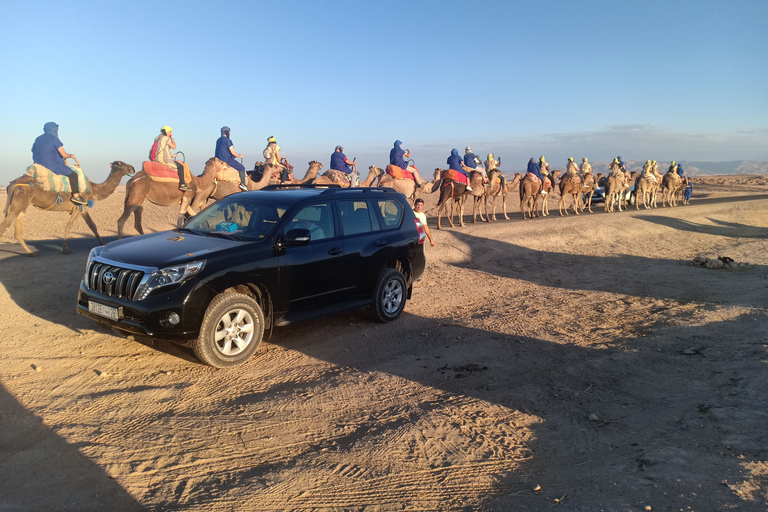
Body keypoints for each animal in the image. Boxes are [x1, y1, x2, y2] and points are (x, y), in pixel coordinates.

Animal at [0, 161, 136, 255]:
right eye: (122, 164)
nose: (133, 168)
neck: (93, 189)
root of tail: (12, 184)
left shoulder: (83, 207)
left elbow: (92, 225)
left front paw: (102, 243)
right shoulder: (77, 207)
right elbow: (69, 226)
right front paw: (65, 250)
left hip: (22, 204)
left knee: (17, 229)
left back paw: (31, 253)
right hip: (20, 199)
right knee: (4, 225)